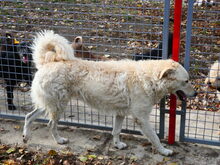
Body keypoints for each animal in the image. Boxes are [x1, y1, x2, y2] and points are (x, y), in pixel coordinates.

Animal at [23, 30, 197, 156]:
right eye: (186, 81)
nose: (195, 94)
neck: (148, 78)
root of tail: (47, 62)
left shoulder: (120, 113)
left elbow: (116, 130)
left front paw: (117, 145)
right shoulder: (141, 118)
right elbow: (154, 137)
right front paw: (164, 151)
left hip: (49, 104)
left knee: (28, 116)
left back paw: (26, 136)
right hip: (58, 105)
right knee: (51, 124)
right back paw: (59, 140)